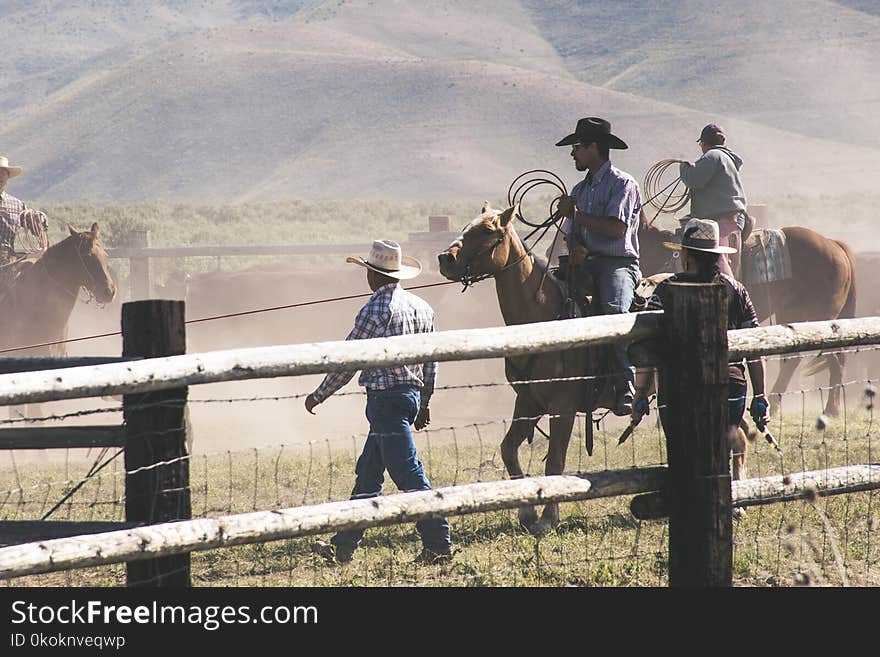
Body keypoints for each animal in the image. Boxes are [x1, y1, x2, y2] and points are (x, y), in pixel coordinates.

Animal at [436, 201, 616, 532]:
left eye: (487, 230)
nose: (446, 259)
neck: (544, 318)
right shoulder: (528, 400)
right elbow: (509, 449)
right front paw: (527, 512)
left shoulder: (563, 405)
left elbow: (555, 460)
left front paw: (548, 518)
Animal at [636, 217, 856, 416]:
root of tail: (834, 244)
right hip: (791, 313)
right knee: (795, 360)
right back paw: (774, 404)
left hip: (823, 316)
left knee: (836, 358)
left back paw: (831, 409)